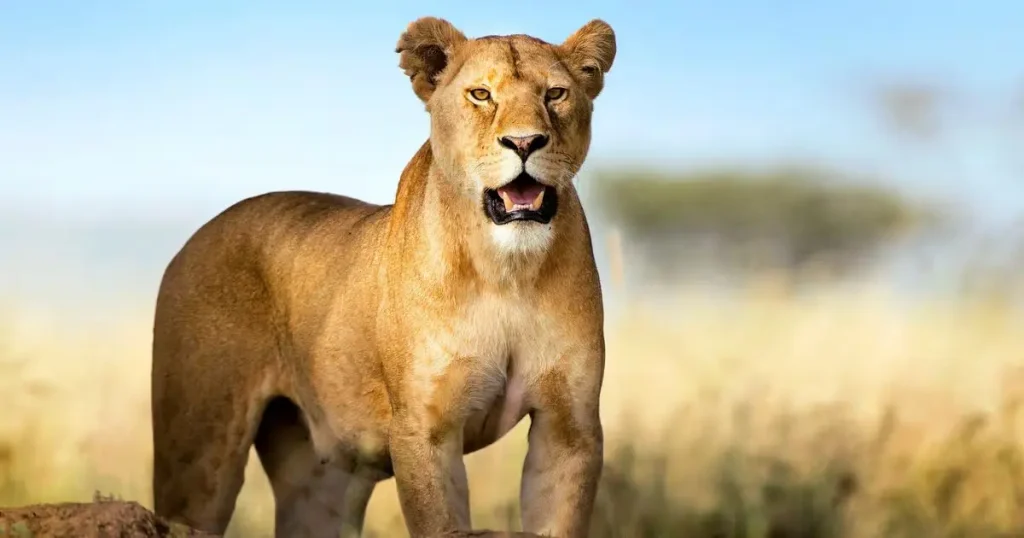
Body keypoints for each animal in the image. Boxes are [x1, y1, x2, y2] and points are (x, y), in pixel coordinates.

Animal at [150, 16, 616, 538]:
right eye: (481, 95)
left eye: (555, 94)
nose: (524, 142)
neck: (506, 272)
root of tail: (192, 239)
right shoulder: (423, 429)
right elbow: (439, 521)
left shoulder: (570, 427)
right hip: (199, 452)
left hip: (319, 477)